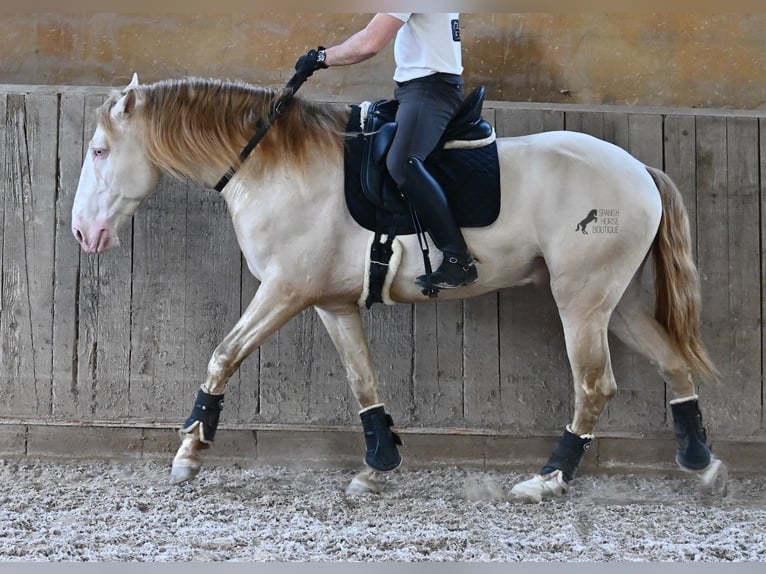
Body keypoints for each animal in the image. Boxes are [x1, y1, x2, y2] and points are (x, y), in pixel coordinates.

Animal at [70, 75, 728, 504]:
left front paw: (188, 452)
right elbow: (363, 380)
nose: (84, 232)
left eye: (100, 150)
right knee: (672, 363)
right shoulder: (331, 303)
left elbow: (223, 354)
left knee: (594, 385)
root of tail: (639, 170)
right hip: (618, 302)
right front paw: (378, 465)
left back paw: (549, 479)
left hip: (582, 301)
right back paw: (702, 465)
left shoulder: (284, 291)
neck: (274, 168)